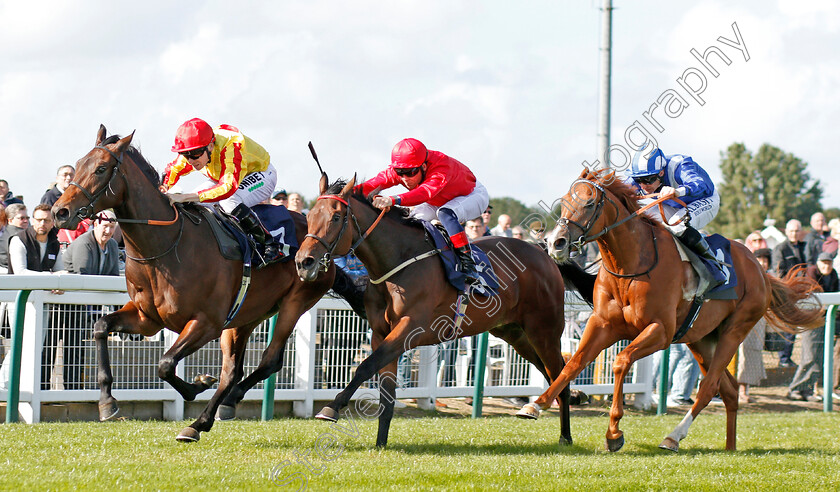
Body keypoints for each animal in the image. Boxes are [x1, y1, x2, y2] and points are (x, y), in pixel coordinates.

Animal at [52, 126, 364, 442]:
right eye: (77, 165)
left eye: (101, 169)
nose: (59, 212)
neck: (165, 246)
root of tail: (325, 248)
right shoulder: (147, 318)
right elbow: (101, 327)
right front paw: (107, 401)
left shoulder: (206, 322)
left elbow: (165, 364)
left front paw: (196, 385)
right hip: (246, 314)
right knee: (232, 371)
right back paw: (205, 418)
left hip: (294, 302)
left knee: (269, 360)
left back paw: (222, 405)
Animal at [296, 175, 596, 448]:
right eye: (310, 217)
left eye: (336, 217)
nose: (303, 261)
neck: (398, 261)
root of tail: (543, 252)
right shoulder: (381, 333)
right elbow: (385, 392)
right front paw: (380, 443)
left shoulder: (410, 328)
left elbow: (365, 366)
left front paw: (330, 408)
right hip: (513, 332)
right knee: (553, 373)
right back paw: (569, 401)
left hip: (544, 330)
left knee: (560, 371)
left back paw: (566, 435)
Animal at [520, 170, 820, 454]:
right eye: (564, 202)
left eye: (590, 202)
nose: (556, 243)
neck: (631, 264)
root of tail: (760, 269)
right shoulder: (603, 323)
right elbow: (573, 363)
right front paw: (536, 405)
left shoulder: (660, 331)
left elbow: (621, 362)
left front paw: (614, 433)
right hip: (700, 339)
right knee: (730, 389)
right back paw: (730, 446)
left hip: (734, 331)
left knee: (709, 387)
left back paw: (673, 437)